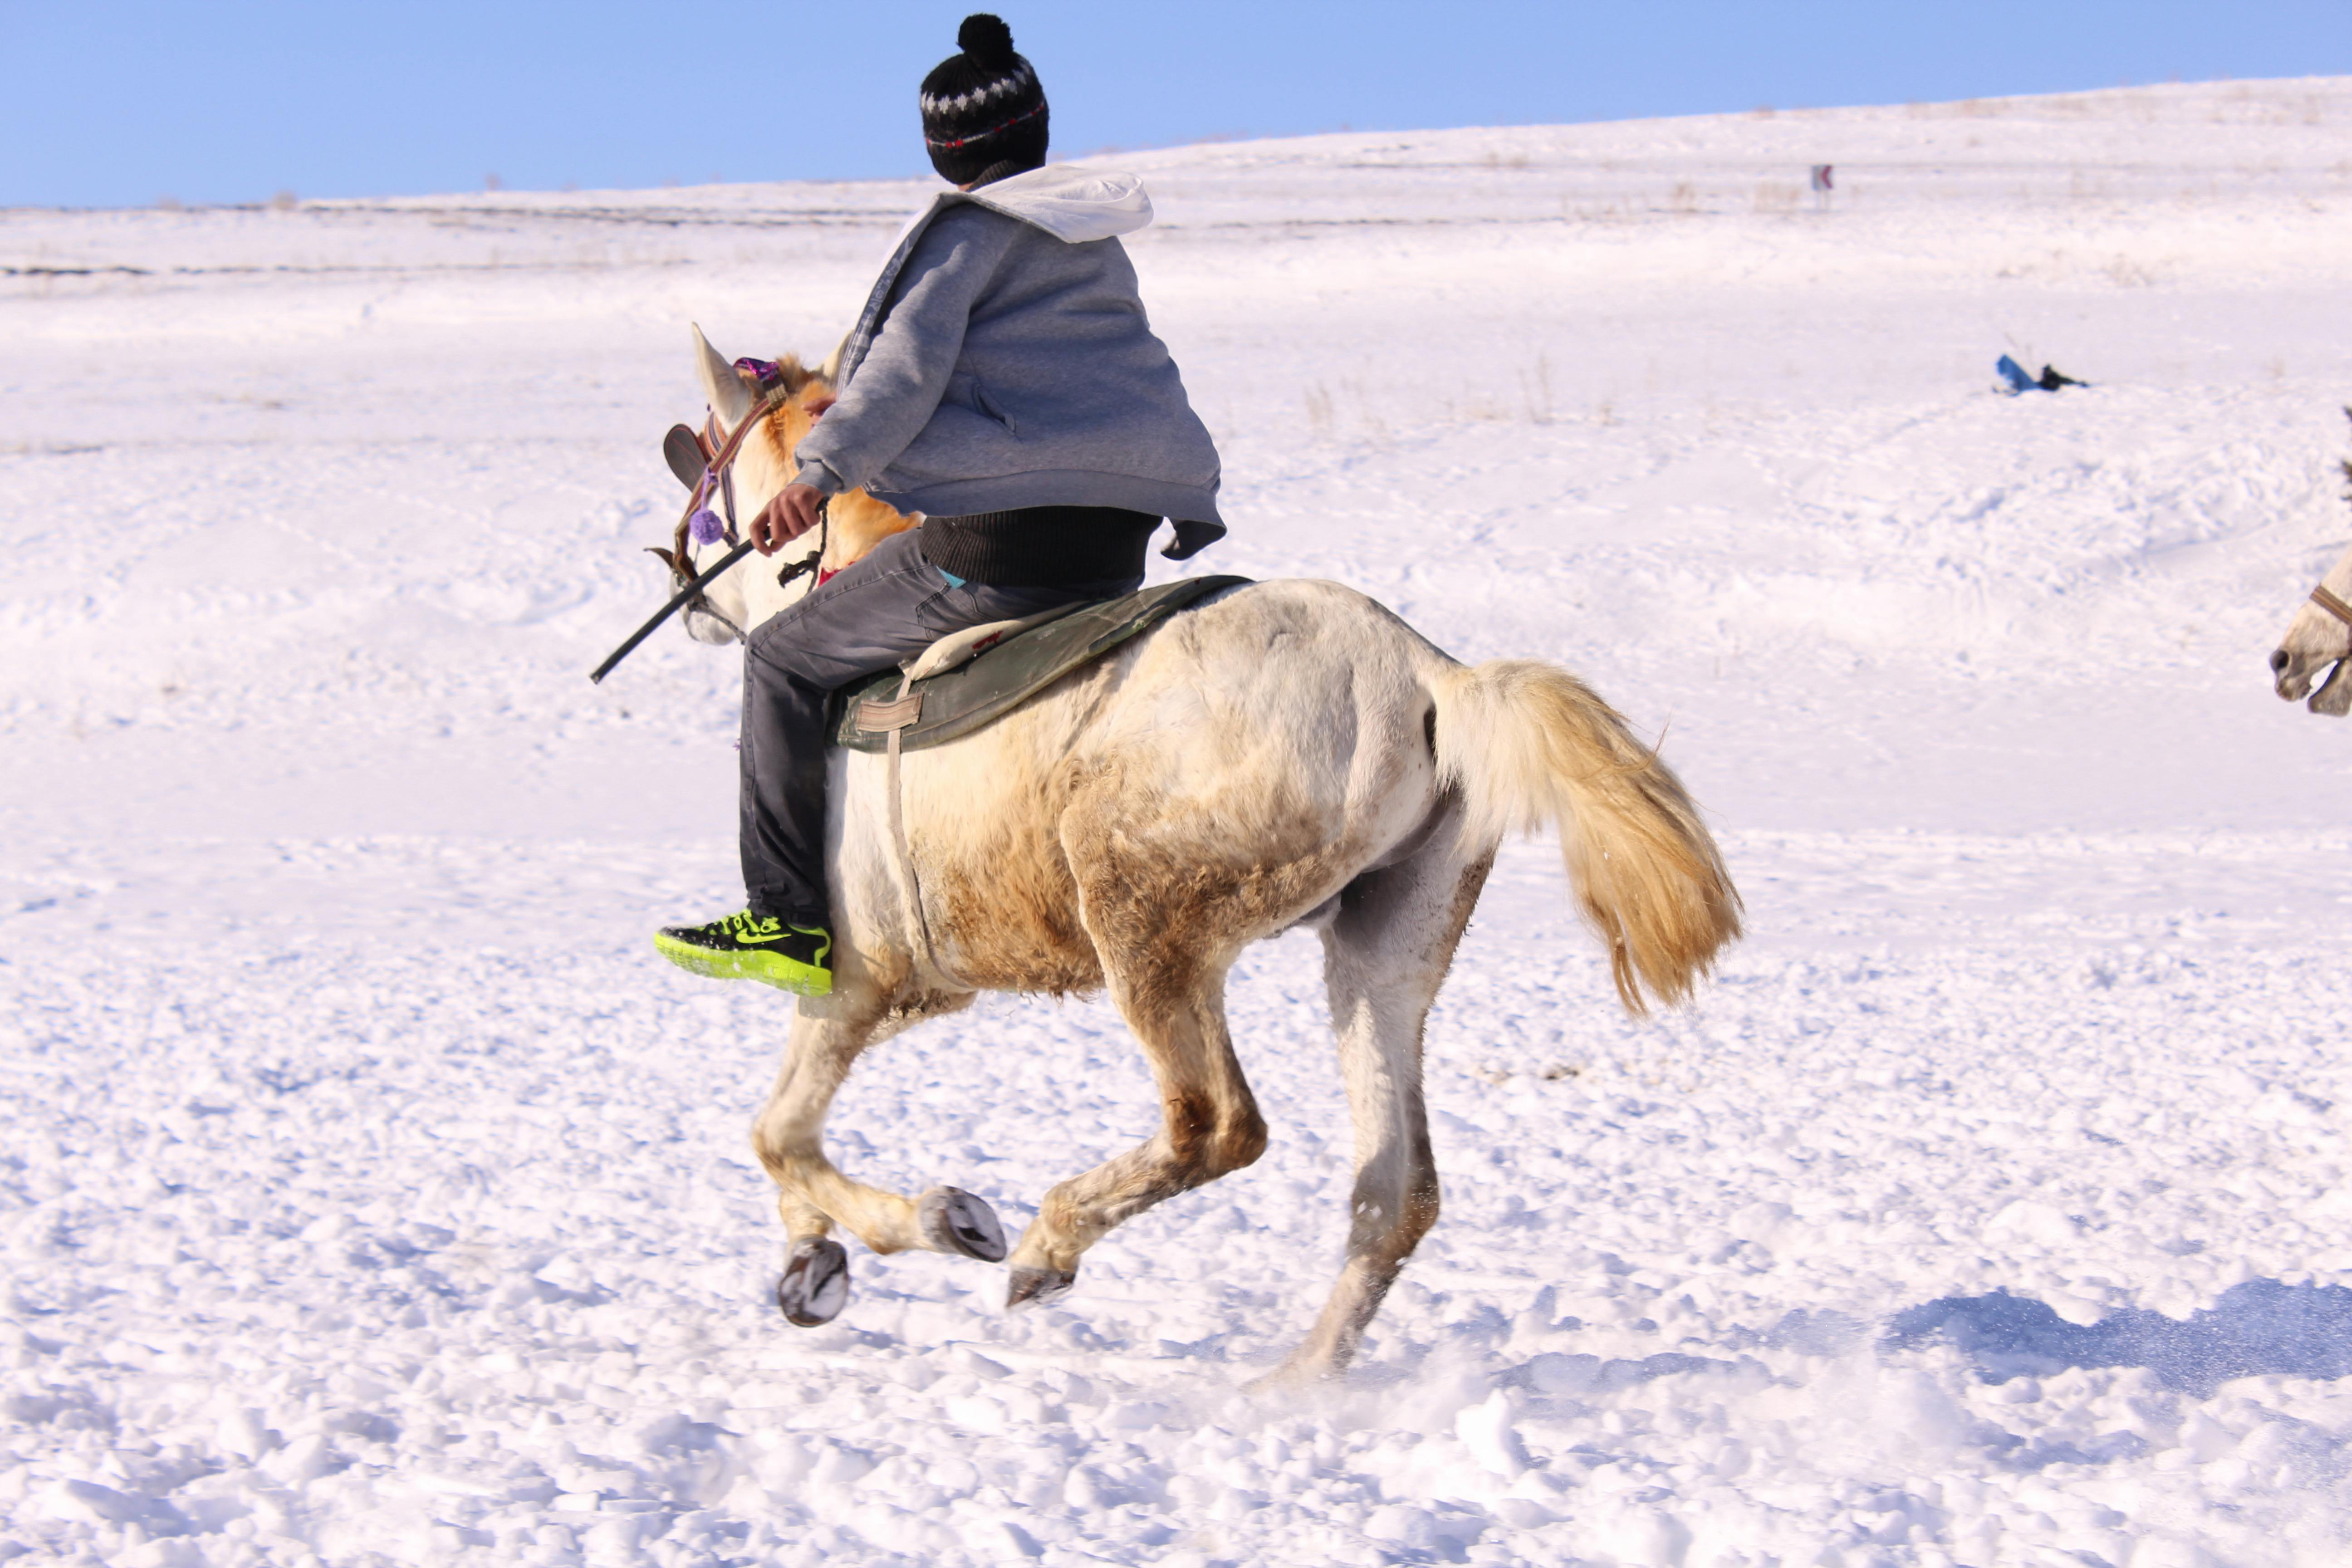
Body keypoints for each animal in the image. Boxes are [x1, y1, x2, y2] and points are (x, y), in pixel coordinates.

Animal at [651, 327, 1744, 1378]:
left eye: (704, 469)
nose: (683, 585)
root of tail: (1425, 675)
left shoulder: (863, 980)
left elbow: (779, 1131)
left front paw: (934, 1222)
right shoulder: (896, 990)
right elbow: (785, 1133)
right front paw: (810, 1256)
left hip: (1151, 936)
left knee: (1216, 1123)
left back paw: (1048, 1245)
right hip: (1382, 957)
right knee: (1395, 1191)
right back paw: (1290, 1388)